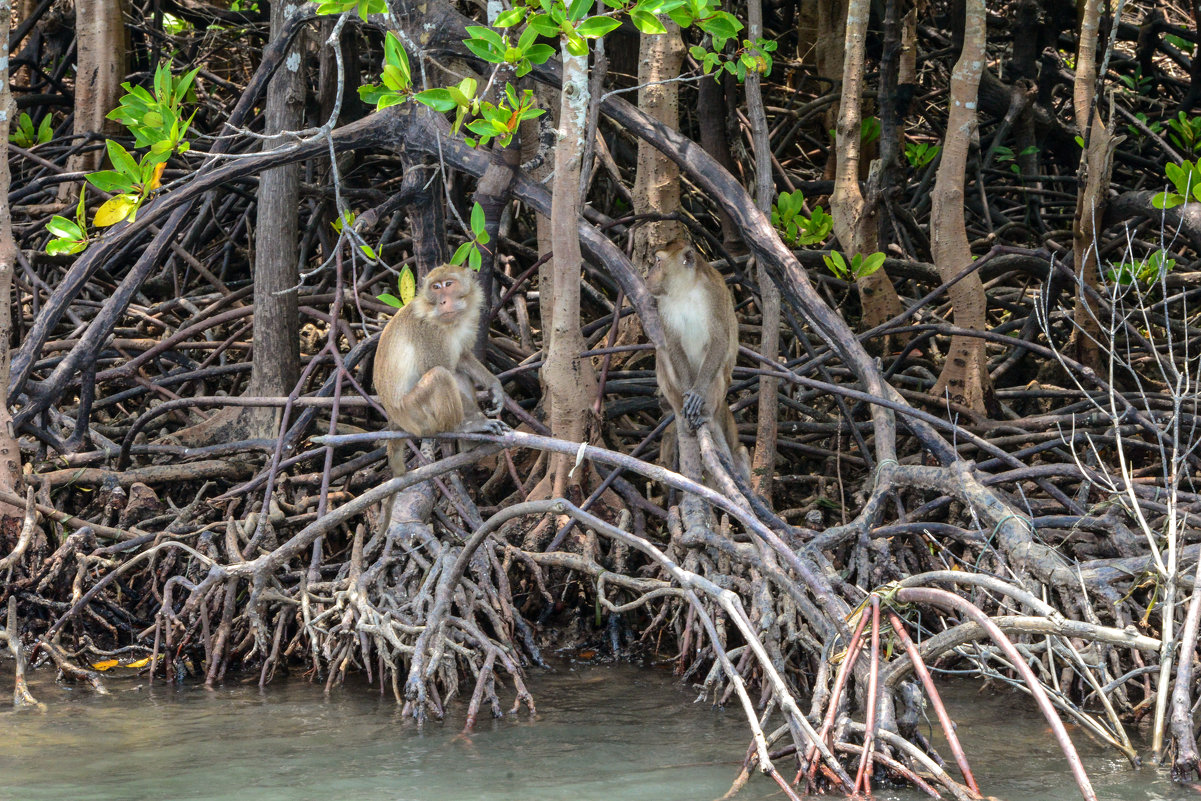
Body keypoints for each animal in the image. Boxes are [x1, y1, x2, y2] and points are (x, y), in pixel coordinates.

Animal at [374, 262, 506, 475]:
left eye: (448, 284)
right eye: (436, 287)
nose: (443, 301)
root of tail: (395, 420)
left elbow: (462, 358)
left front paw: (496, 387)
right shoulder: (427, 331)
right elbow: (439, 368)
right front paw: (479, 422)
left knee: (456, 374)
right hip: (414, 415)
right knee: (440, 375)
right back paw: (460, 428)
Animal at [648, 240, 749, 482]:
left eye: (658, 261)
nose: (648, 275)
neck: (686, 290)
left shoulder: (713, 293)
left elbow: (720, 340)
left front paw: (697, 393)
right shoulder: (663, 304)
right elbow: (673, 344)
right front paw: (688, 394)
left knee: (718, 369)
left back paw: (706, 415)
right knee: (662, 352)